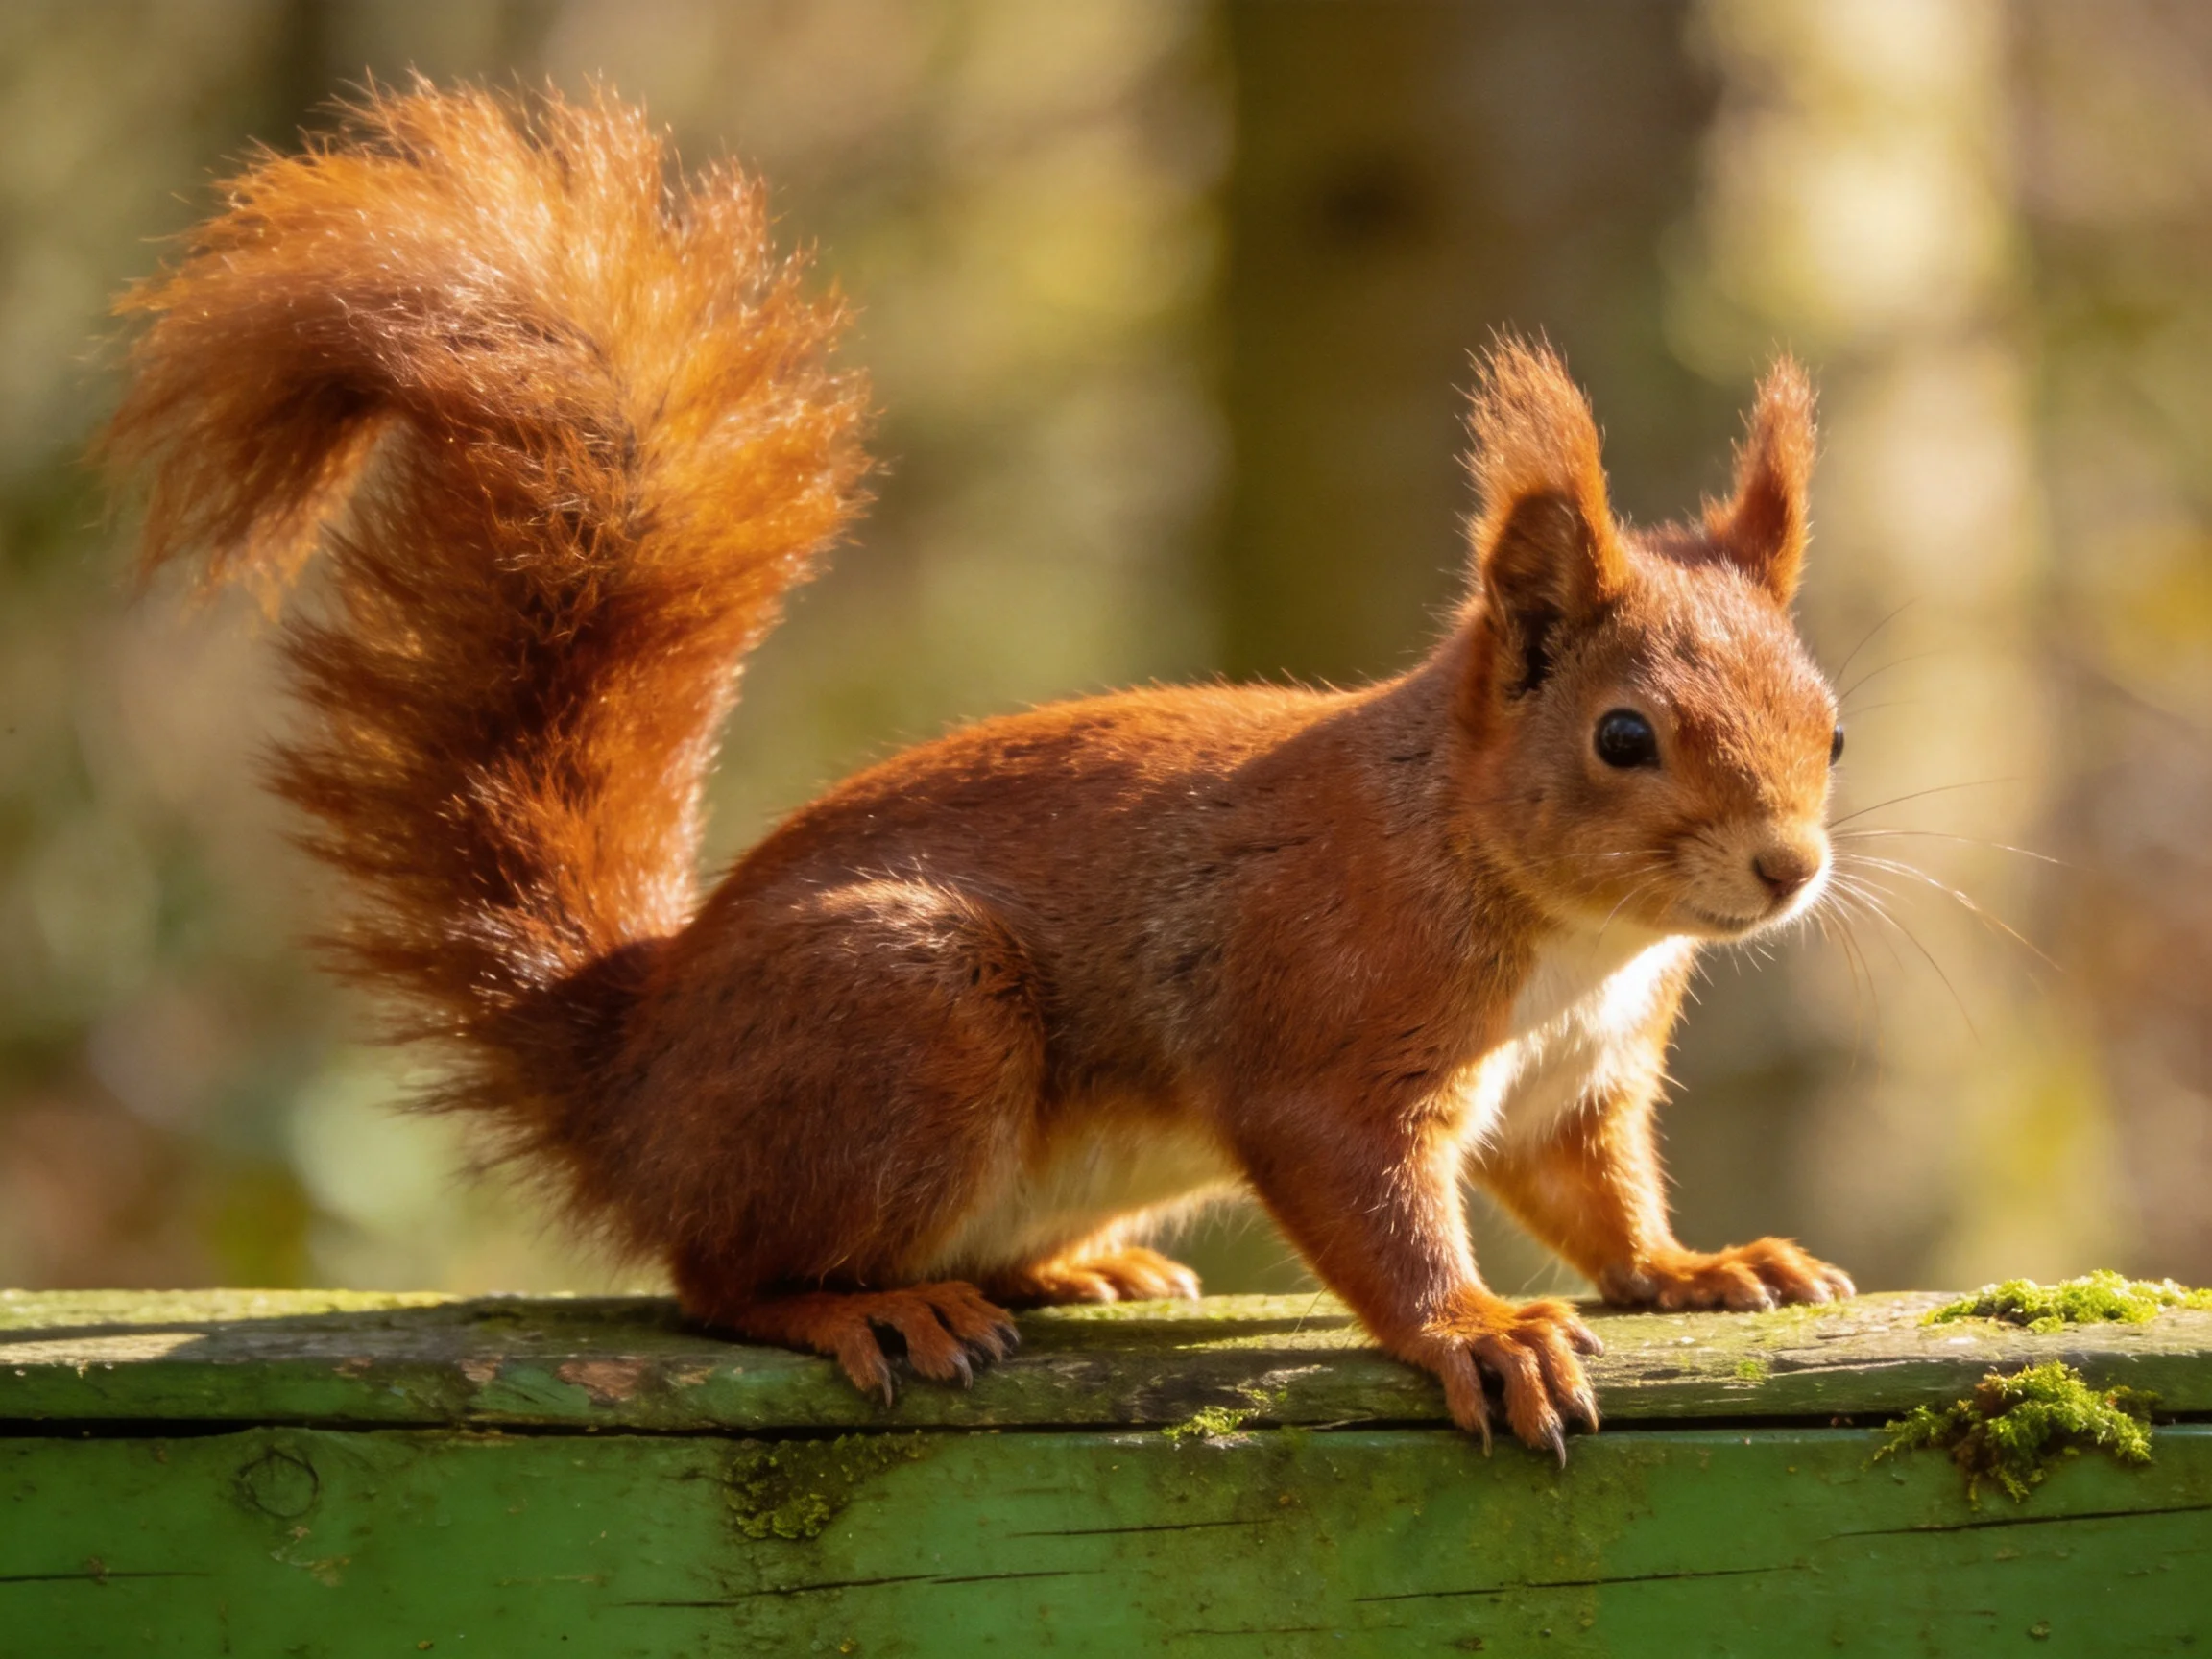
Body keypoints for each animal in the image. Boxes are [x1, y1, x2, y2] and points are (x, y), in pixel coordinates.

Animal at [105, 84, 1853, 1459]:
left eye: (1831, 725)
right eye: (1621, 737)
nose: (1789, 867)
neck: (1565, 930)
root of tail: (637, 1070)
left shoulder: (1580, 1079)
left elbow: (1595, 1195)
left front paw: (1697, 1269)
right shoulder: (1325, 1021)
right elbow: (1366, 1202)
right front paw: (1479, 1328)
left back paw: (1073, 1268)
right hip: (908, 1008)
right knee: (716, 1277)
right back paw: (870, 1309)